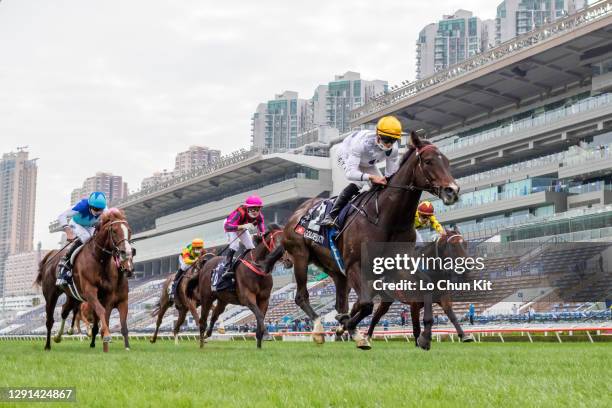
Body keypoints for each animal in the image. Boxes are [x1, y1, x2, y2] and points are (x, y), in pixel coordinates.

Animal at [35, 209, 134, 352]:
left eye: (129, 230)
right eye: (114, 231)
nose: (126, 252)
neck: (99, 258)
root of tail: (50, 257)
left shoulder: (108, 295)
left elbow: (103, 315)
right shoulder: (90, 291)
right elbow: (101, 311)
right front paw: (106, 335)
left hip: (72, 296)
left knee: (65, 311)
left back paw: (59, 336)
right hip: (51, 295)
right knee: (50, 320)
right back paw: (48, 345)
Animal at [268, 131, 460, 350]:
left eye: (447, 161)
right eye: (428, 161)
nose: (453, 191)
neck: (387, 218)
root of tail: (296, 213)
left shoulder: (397, 266)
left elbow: (424, 288)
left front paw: (425, 337)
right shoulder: (355, 265)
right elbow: (367, 304)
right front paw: (350, 329)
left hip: (336, 270)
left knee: (340, 303)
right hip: (301, 256)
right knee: (301, 296)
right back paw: (319, 330)